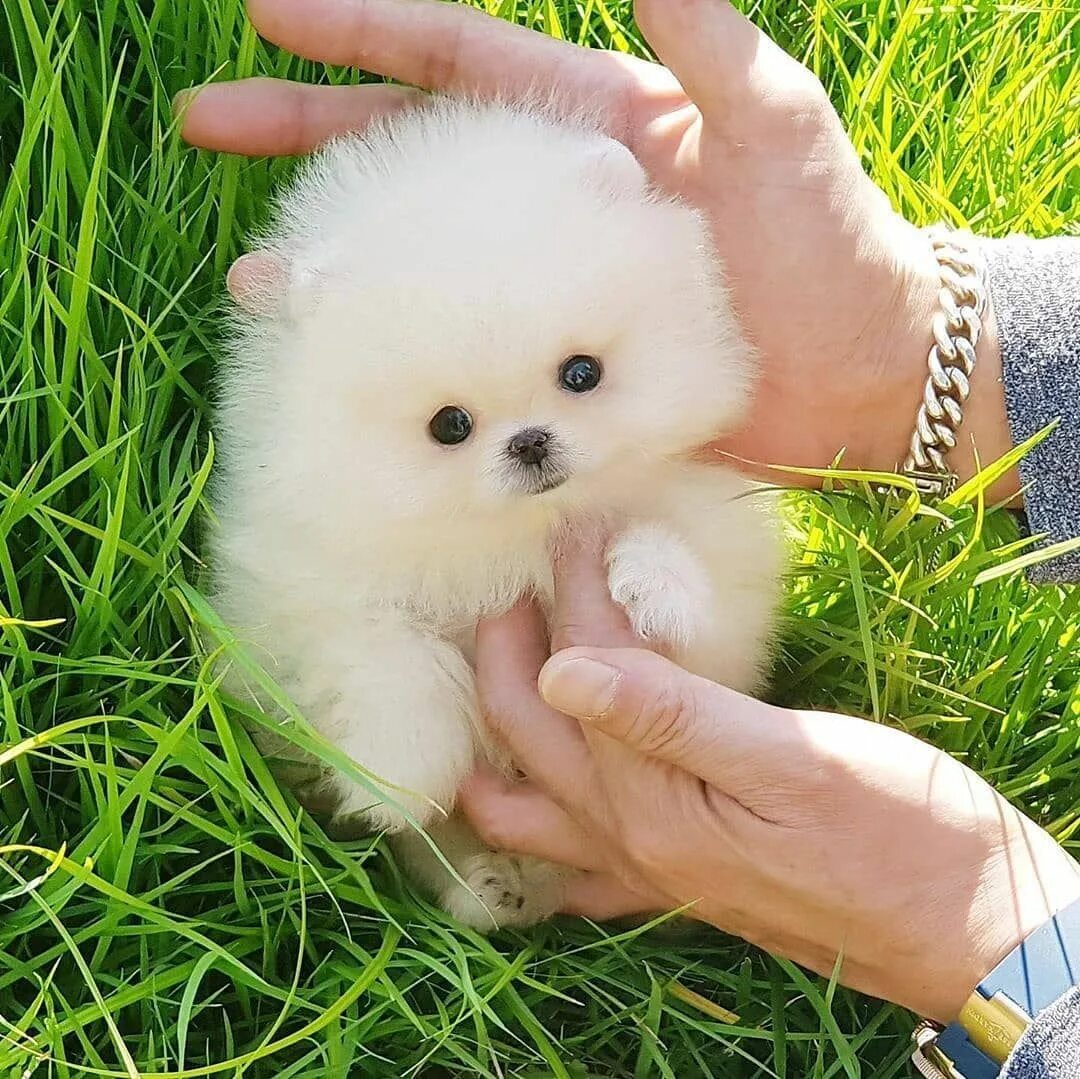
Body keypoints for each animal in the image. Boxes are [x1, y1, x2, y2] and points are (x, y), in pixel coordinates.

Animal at [210, 99, 786, 928]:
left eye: (581, 373)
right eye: (450, 424)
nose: (530, 440)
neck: (513, 537)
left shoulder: (723, 558)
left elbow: (686, 572)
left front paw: (652, 589)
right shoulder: (295, 595)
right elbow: (387, 655)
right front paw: (395, 778)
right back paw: (484, 883)